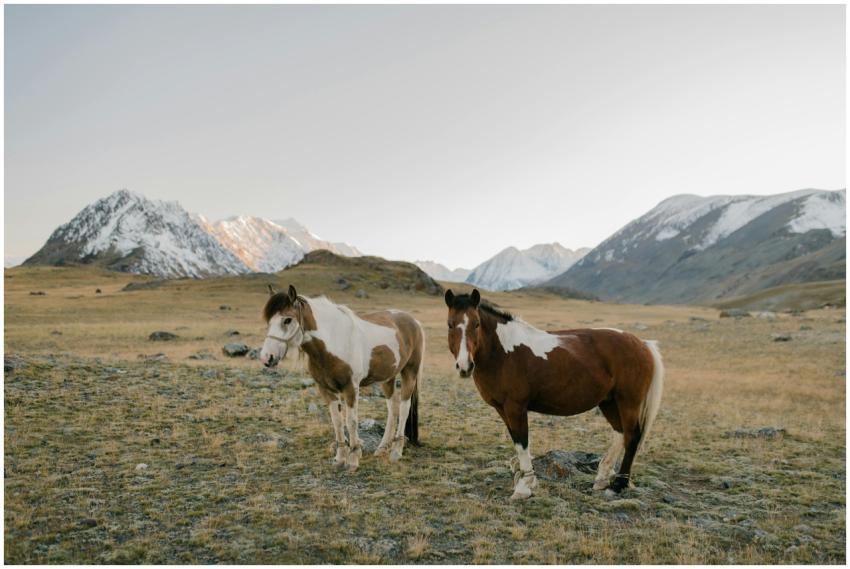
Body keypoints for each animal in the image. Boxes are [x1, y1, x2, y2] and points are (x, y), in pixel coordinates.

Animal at [260, 285, 424, 472]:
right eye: (269, 321)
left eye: (287, 320)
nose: (266, 358)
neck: (334, 341)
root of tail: (414, 321)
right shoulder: (325, 389)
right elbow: (337, 421)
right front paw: (339, 458)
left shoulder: (350, 388)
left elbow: (350, 421)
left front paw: (353, 458)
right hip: (387, 378)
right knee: (392, 409)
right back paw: (382, 448)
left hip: (409, 372)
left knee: (404, 408)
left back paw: (396, 451)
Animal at [444, 288, 664, 500]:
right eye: (450, 324)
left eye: (477, 324)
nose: (465, 366)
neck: (503, 352)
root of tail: (642, 343)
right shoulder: (502, 408)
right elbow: (517, 441)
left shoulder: (515, 407)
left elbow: (522, 442)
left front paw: (524, 487)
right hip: (609, 402)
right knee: (620, 433)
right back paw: (601, 480)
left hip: (628, 401)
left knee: (632, 436)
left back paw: (617, 486)